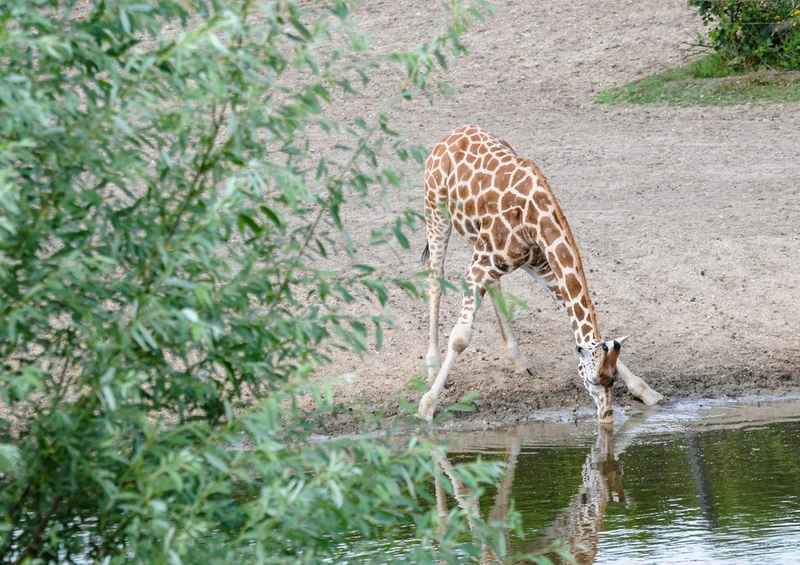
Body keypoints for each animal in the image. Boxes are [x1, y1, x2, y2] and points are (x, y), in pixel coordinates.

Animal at [418, 125, 662, 424]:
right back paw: (431, 365)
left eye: (612, 378)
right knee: (435, 279)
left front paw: (646, 390)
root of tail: (451, 135)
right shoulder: (480, 266)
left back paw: (519, 361)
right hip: (436, 213)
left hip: (480, 242)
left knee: (494, 285)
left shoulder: (539, 265)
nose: (606, 416)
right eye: (591, 380)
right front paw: (427, 405)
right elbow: (461, 338)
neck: (535, 219)